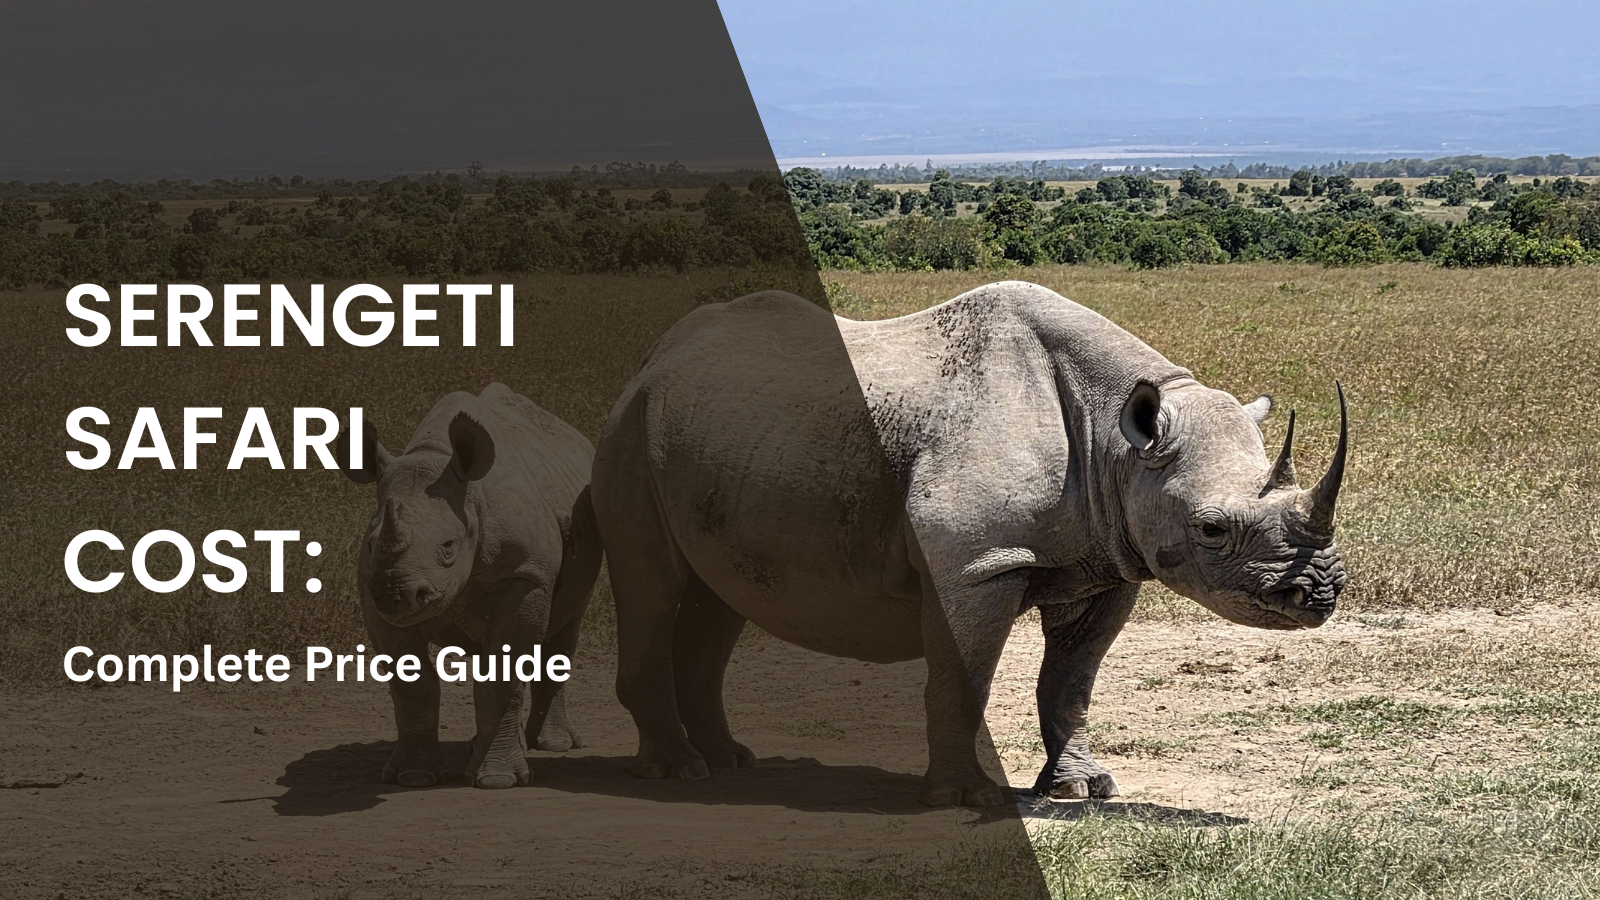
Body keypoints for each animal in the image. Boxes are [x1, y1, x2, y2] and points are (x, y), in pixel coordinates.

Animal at [337, 383, 602, 789]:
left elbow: (502, 676)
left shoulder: (526, 574)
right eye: (370, 544)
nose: (396, 594)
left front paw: (497, 780)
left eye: (448, 546)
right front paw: (414, 777)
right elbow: (413, 687)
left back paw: (554, 744)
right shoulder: (370, 588)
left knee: (567, 620)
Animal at [591, 281, 1348, 806]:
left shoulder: (1110, 563)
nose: (1320, 593)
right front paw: (964, 798)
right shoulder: (976, 565)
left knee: (718, 598)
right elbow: (963, 678)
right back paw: (676, 772)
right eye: (1212, 529)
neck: (1118, 442)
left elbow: (1071, 681)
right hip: (630, 428)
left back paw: (728, 762)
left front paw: (1080, 788)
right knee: (653, 587)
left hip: (719, 434)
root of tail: (654, 357)